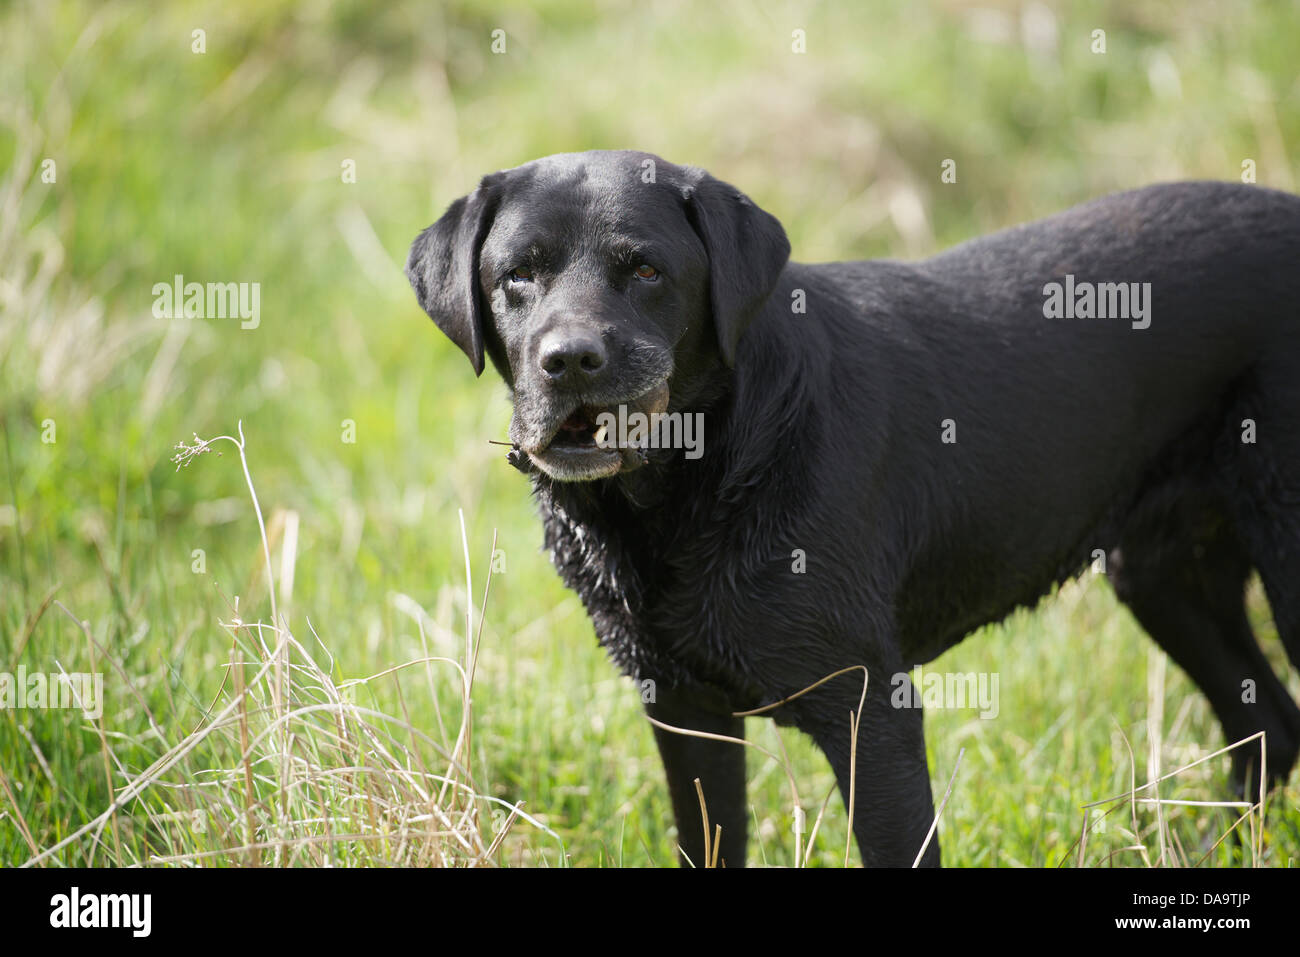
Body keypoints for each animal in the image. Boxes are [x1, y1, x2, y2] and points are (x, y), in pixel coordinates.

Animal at [405, 151, 1300, 868]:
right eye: (517, 275)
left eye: (648, 271)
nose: (569, 360)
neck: (701, 480)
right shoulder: (685, 710)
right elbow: (711, 839)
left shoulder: (872, 711)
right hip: (1161, 576)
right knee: (1267, 723)